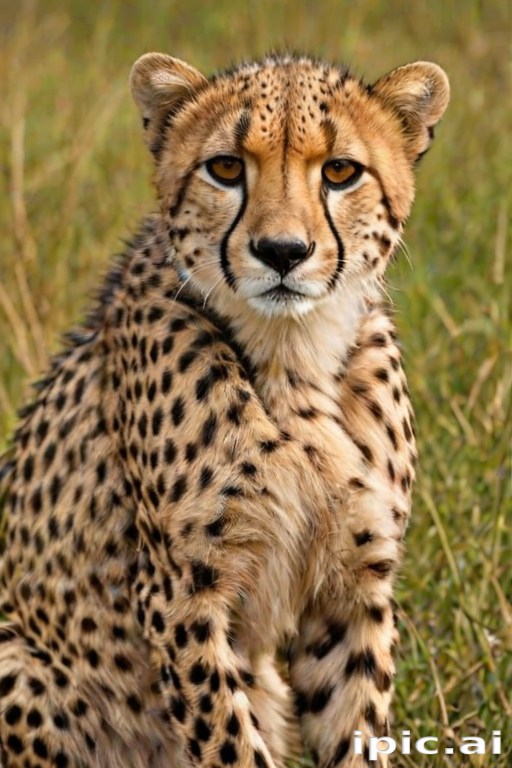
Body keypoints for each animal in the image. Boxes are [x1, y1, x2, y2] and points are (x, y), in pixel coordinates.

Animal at [0, 51, 449, 768]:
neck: (293, 356)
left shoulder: (353, 588)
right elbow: (230, 741)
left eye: (340, 172)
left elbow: (357, 725)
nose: (283, 252)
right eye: (227, 168)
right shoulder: (182, 594)